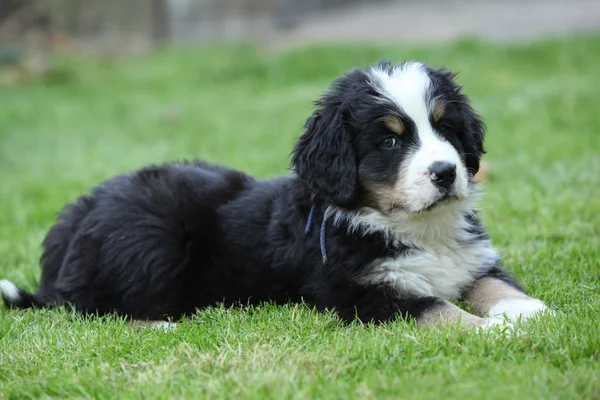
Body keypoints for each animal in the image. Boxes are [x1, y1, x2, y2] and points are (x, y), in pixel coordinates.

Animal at [1, 59, 552, 328]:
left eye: (446, 129)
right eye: (391, 141)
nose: (445, 172)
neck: (412, 227)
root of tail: (73, 219)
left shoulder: (470, 260)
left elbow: (491, 284)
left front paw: (529, 312)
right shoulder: (363, 293)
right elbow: (439, 310)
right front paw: (496, 331)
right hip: (150, 239)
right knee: (90, 308)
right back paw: (160, 325)